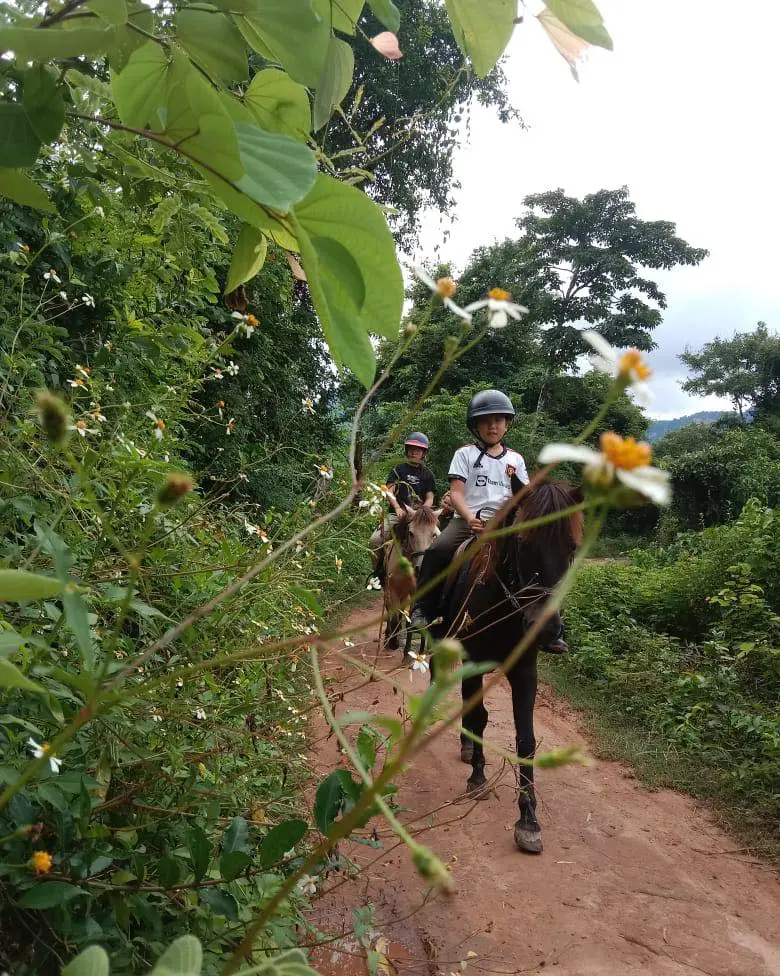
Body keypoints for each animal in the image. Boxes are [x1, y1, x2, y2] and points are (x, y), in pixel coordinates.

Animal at [383, 504, 441, 660]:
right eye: (411, 533)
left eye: (434, 535)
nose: (422, 567)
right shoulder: (393, 589)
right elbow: (394, 618)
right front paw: (393, 643)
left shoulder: (417, 591)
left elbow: (413, 621)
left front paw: (410, 653)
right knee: (389, 610)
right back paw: (387, 638)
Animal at [435, 481, 583, 854]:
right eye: (522, 542)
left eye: (573, 548)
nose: (545, 629)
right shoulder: (473, 661)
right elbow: (480, 716)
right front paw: (478, 778)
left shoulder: (525, 671)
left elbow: (525, 739)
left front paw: (528, 820)